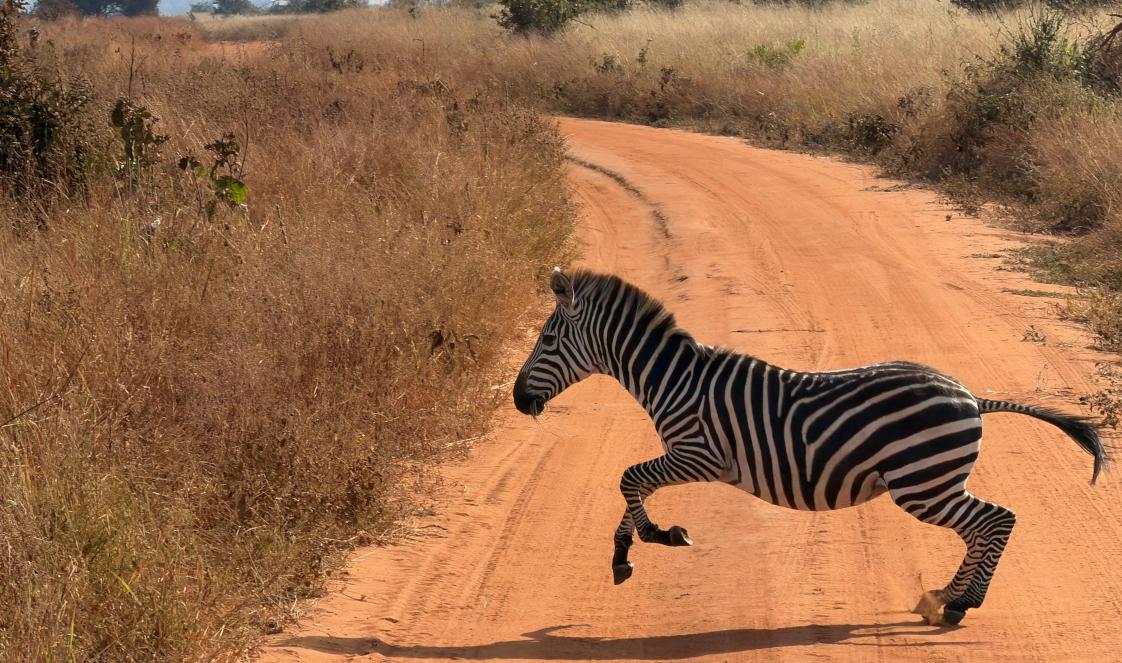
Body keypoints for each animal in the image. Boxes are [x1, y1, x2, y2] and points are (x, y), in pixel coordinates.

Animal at [513, 268, 1107, 627]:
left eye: (547, 340)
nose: (517, 400)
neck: (673, 379)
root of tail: (971, 396)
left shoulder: (700, 453)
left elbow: (629, 477)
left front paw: (654, 538)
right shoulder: (689, 457)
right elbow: (632, 482)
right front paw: (626, 552)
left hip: (922, 484)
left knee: (997, 520)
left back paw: (960, 604)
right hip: (935, 482)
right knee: (982, 526)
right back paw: (940, 597)